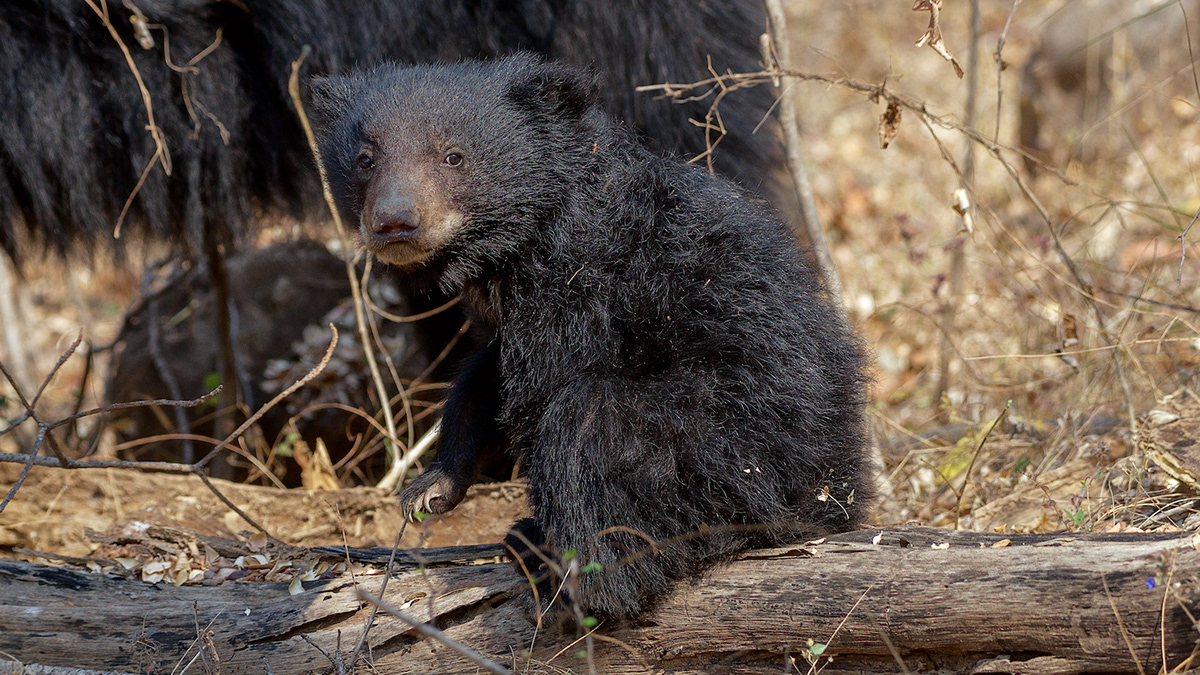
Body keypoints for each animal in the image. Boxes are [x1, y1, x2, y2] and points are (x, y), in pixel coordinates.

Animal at [307, 55, 873, 619]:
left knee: (588, 424)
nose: (394, 222)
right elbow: (482, 376)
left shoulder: (581, 285)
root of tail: (834, 490)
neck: (514, 245)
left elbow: (543, 383)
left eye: (453, 157)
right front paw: (432, 488)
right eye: (365, 159)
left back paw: (581, 577)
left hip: (728, 447)